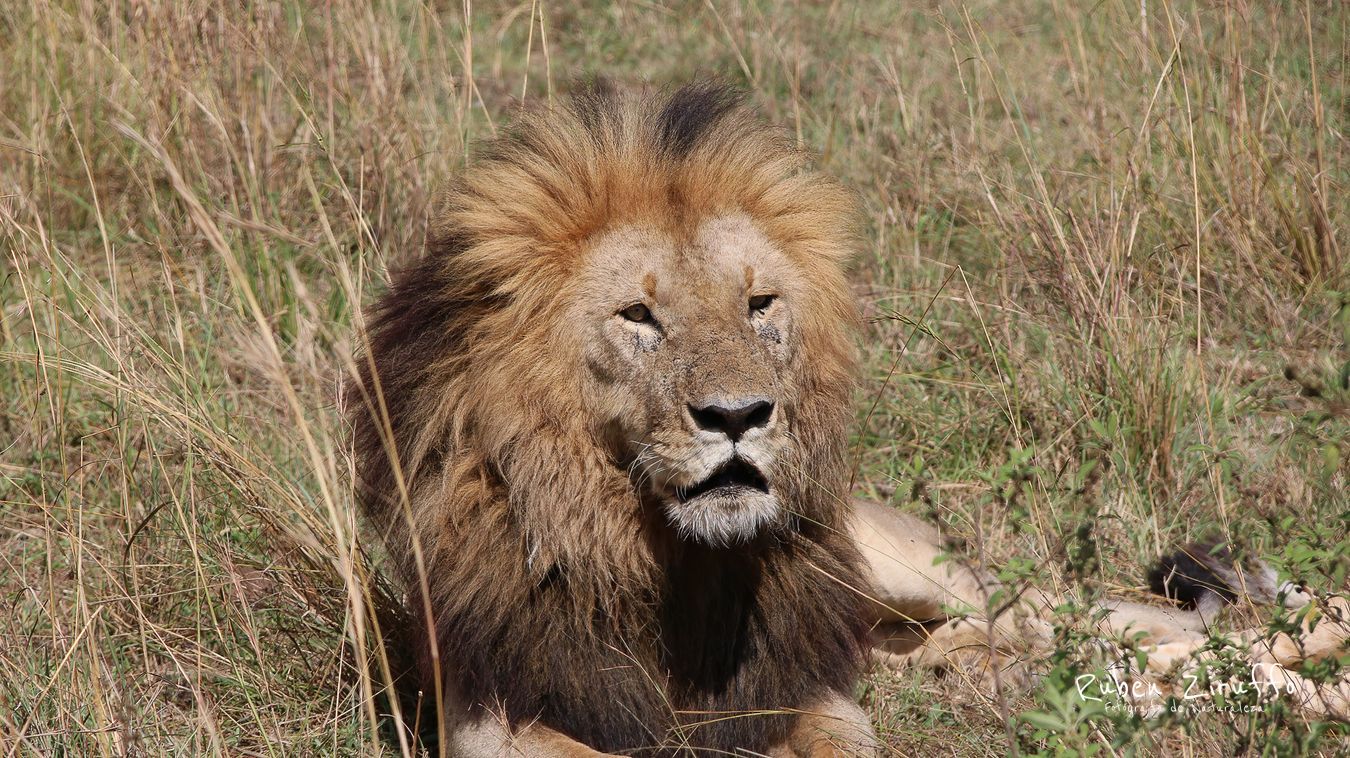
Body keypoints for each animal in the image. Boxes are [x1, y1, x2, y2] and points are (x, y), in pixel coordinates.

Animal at [351, 84, 1350, 756]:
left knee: (1137, 620)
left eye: (758, 304)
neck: (662, 563)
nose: (740, 415)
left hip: (925, 570)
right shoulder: (497, 718)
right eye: (639, 317)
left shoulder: (813, 696)